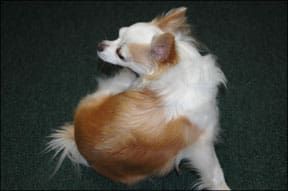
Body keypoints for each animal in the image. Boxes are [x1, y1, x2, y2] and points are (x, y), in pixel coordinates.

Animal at [46, 7, 231, 190]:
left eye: (120, 54)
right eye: (118, 34)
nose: (99, 45)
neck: (177, 73)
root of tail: (75, 138)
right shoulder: (202, 145)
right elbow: (216, 174)